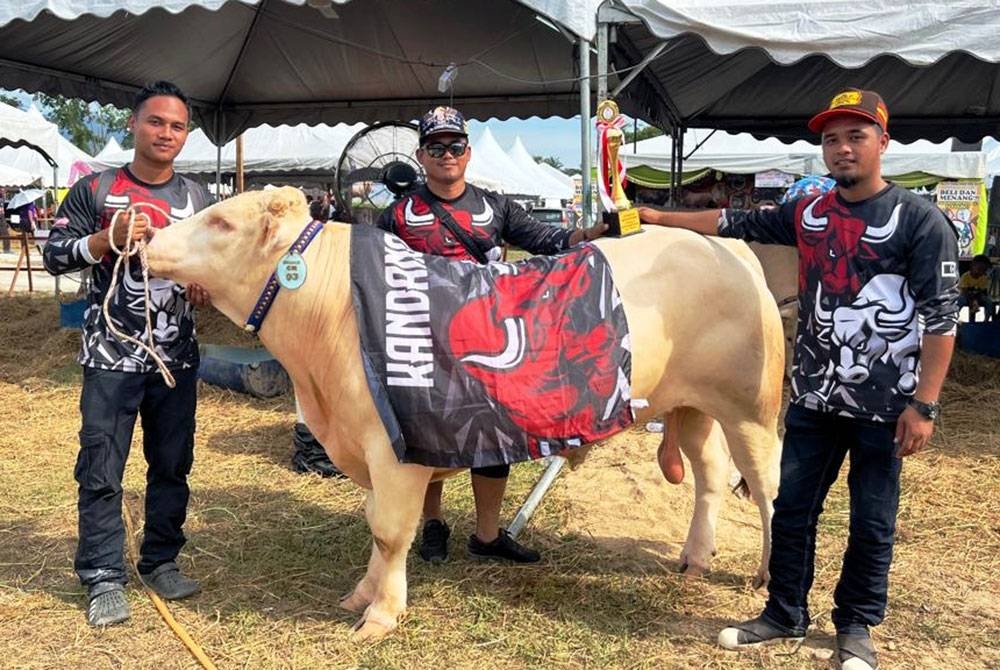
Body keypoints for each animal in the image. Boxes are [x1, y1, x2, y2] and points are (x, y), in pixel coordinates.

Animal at [146, 188, 788, 640]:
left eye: (222, 223)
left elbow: (390, 531)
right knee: (710, 475)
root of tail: (725, 245)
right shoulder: (368, 447)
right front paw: (362, 593)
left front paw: (382, 615)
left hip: (751, 409)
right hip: (693, 404)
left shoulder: (394, 452)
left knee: (767, 487)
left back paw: (764, 577)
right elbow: (376, 527)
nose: (147, 238)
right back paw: (695, 558)